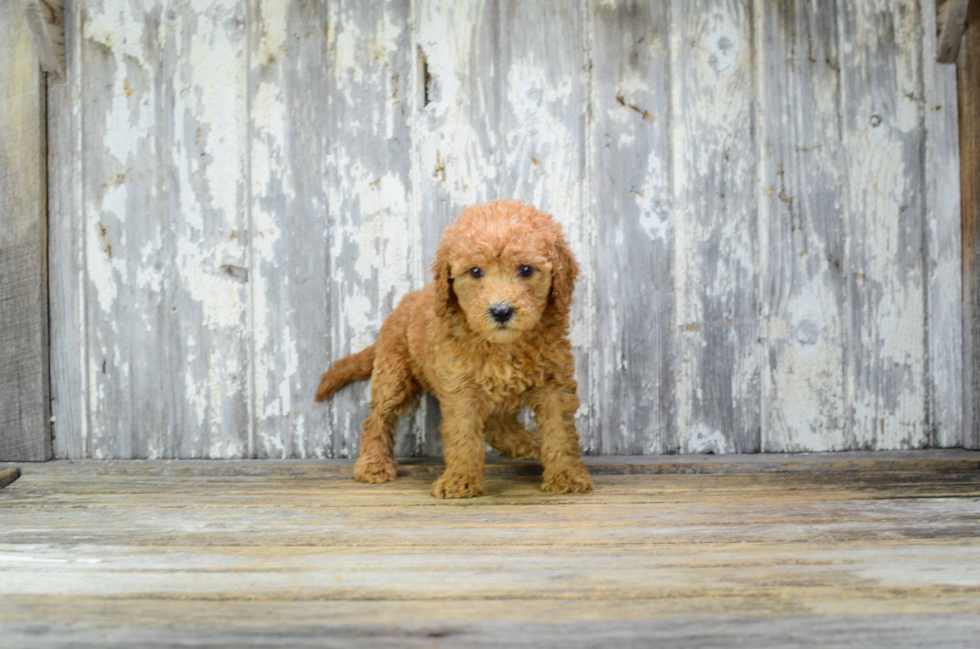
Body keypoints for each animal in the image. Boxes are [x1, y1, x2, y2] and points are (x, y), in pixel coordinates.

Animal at [316, 197, 588, 496]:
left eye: (526, 269)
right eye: (475, 271)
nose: (501, 311)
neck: (502, 346)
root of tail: (409, 299)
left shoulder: (554, 382)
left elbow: (560, 431)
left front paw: (566, 476)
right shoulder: (460, 386)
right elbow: (463, 434)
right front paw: (460, 480)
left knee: (499, 425)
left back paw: (530, 443)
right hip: (393, 373)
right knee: (377, 418)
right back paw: (373, 464)